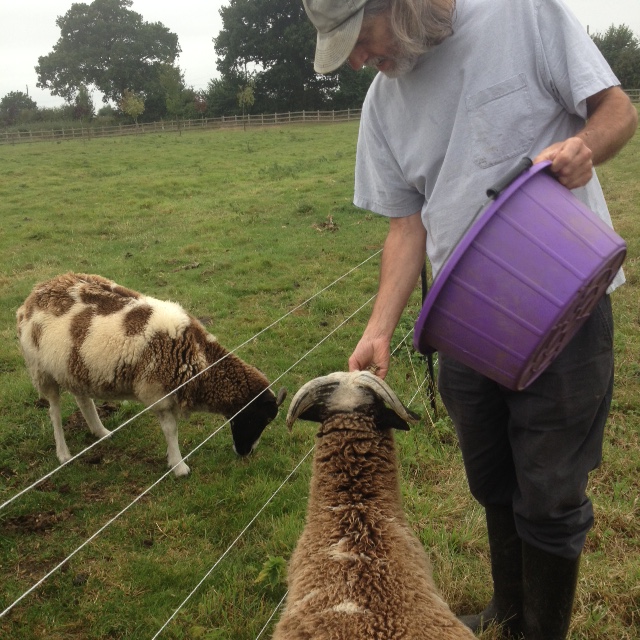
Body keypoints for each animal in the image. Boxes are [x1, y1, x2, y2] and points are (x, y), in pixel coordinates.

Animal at [16, 273, 286, 476]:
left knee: (83, 399)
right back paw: (64, 454)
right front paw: (179, 466)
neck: (197, 357)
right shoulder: (159, 393)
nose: (245, 453)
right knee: (54, 411)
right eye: (259, 418)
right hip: (41, 370)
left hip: (75, 367)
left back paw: (101, 432)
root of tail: (34, 294)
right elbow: (171, 430)